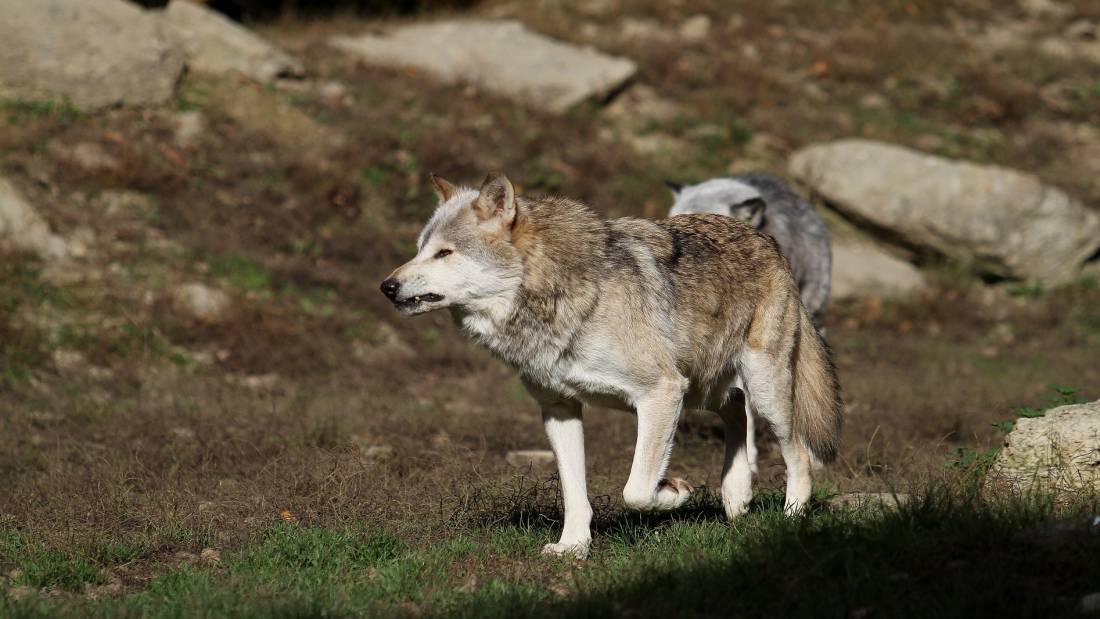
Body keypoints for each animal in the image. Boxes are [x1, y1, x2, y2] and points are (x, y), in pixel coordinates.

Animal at [378, 171, 840, 558]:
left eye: (444, 253)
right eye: (420, 250)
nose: (387, 286)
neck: (560, 296)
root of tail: (768, 241)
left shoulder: (660, 393)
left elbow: (636, 490)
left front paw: (674, 492)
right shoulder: (560, 410)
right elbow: (574, 495)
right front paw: (573, 548)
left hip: (762, 391)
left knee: (797, 451)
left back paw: (791, 517)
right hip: (703, 390)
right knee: (735, 412)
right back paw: (736, 495)